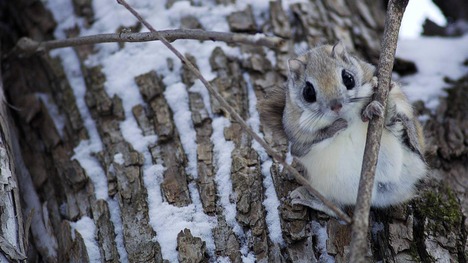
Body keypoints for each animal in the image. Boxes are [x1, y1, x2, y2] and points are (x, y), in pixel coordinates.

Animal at [260, 43, 428, 217]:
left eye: (348, 78)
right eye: (308, 92)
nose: (336, 106)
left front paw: (373, 94)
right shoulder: (298, 140)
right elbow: (307, 144)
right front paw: (336, 127)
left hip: (410, 153)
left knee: (404, 134)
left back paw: (386, 109)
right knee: (337, 209)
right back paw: (310, 199)